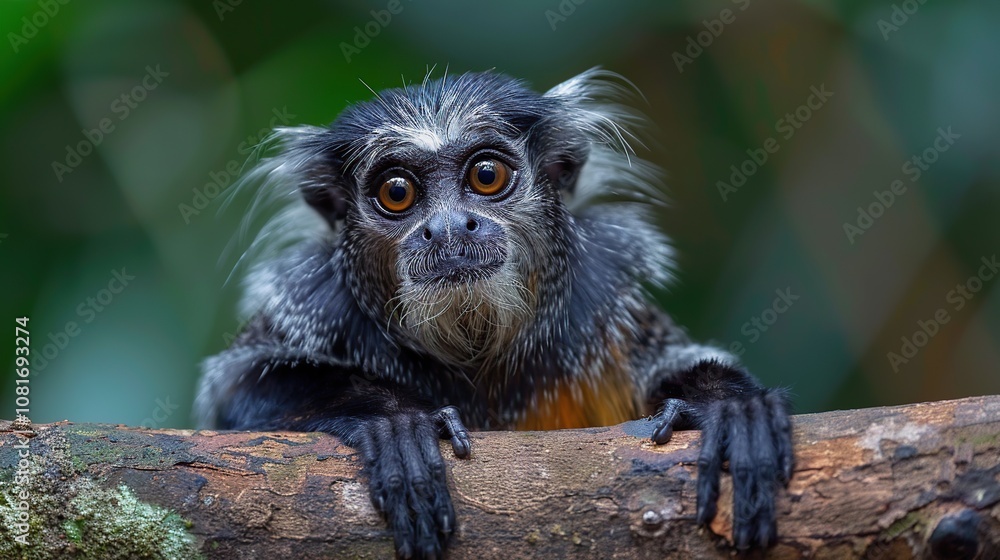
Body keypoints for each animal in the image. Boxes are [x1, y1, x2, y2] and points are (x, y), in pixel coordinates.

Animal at [199, 68, 796, 556]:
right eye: (397, 192)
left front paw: (727, 406)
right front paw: (388, 419)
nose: (447, 228)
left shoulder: (602, 304)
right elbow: (234, 393)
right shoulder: (314, 307)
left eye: (486, 176)